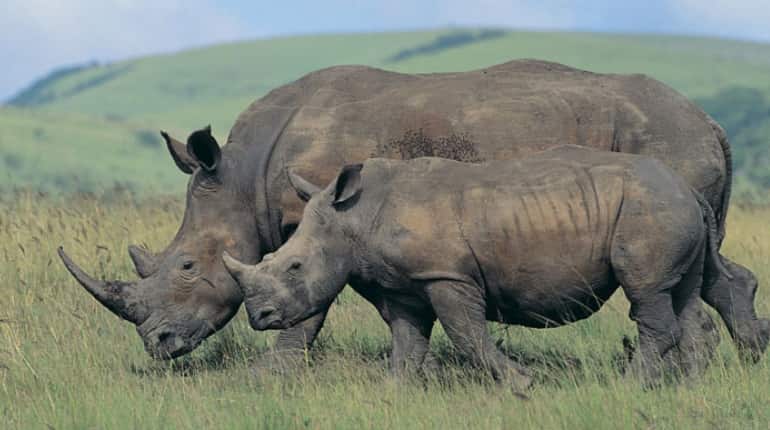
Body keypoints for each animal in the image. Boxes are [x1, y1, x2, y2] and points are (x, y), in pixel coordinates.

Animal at [222, 147, 731, 385]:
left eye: (294, 267)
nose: (260, 318)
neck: (355, 217)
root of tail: (688, 188)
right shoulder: (404, 285)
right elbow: (407, 344)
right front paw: (395, 392)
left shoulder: (447, 275)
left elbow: (467, 335)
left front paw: (522, 384)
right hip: (668, 208)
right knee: (682, 295)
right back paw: (689, 387)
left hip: (650, 209)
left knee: (647, 293)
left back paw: (627, 387)